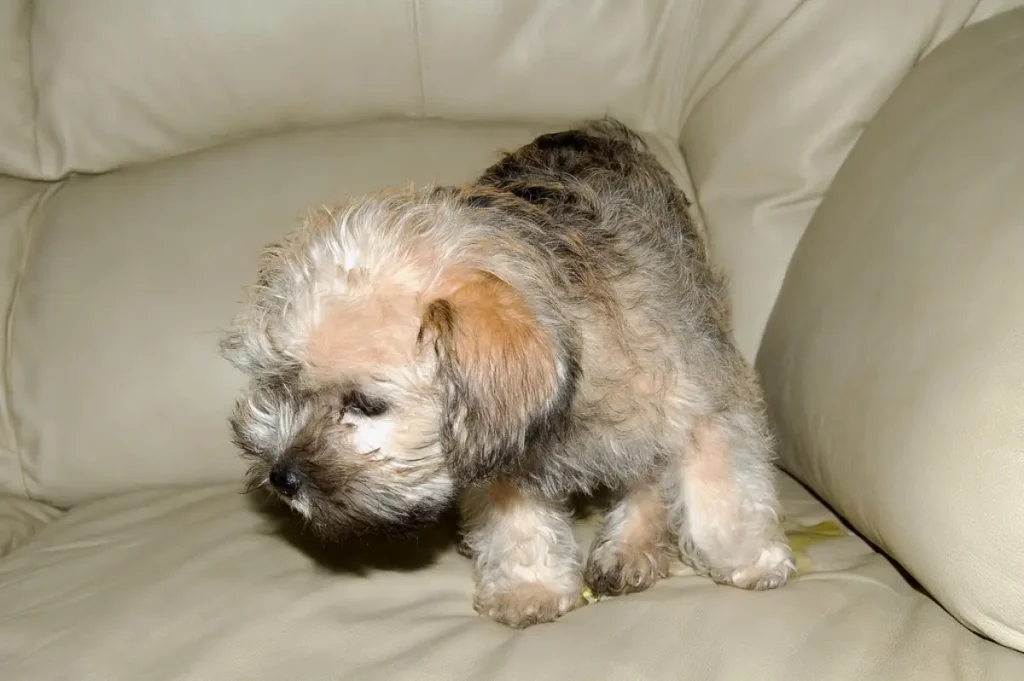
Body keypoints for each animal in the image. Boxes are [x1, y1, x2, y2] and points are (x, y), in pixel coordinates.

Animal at [220, 116, 794, 626]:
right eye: (281, 382)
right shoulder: (497, 454)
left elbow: (720, 489)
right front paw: (530, 588)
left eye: (365, 404)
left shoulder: (703, 398)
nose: (282, 478)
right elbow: (518, 525)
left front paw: (748, 557)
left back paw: (630, 547)